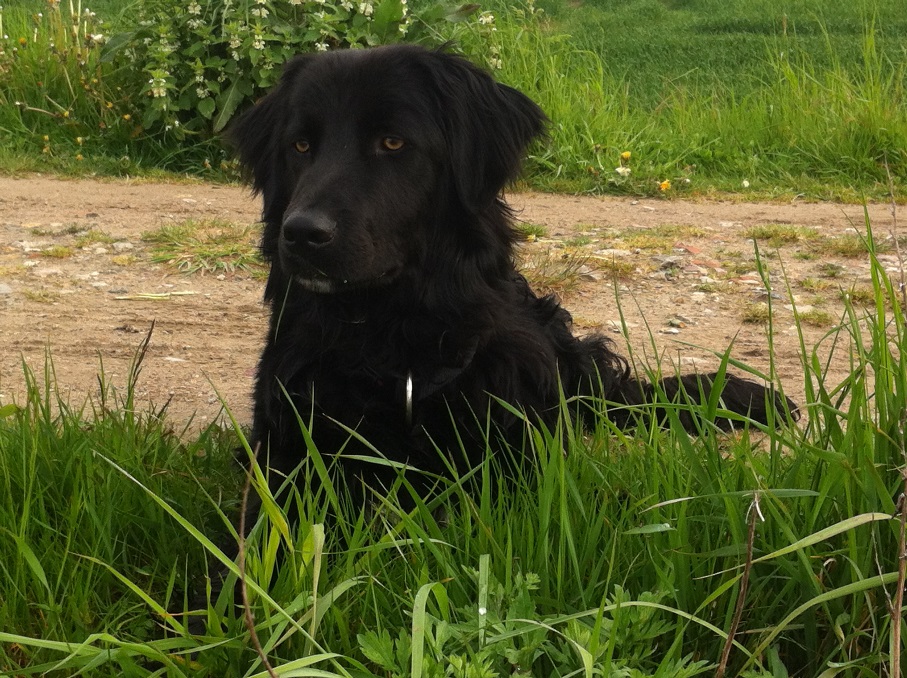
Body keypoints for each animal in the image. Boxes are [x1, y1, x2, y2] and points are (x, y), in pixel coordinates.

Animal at [232, 46, 796, 516]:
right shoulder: (284, 461)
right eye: (300, 145)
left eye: (392, 141)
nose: (302, 234)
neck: (394, 346)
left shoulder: (522, 466)